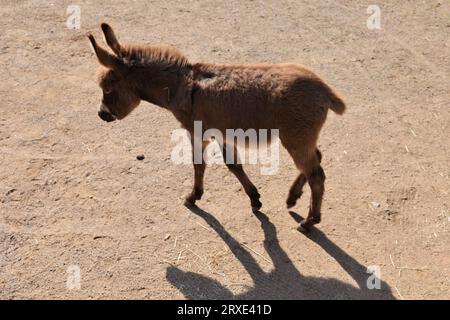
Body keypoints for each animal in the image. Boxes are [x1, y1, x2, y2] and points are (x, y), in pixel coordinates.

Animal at [89, 24, 348, 230]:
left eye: (107, 88)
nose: (101, 115)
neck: (180, 85)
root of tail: (324, 88)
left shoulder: (197, 132)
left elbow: (199, 164)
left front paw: (193, 196)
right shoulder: (222, 134)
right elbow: (233, 165)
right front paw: (255, 199)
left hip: (295, 138)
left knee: (316, 175)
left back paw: (309, 221)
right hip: (301, 137)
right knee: (317, 159)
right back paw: (292, 198)